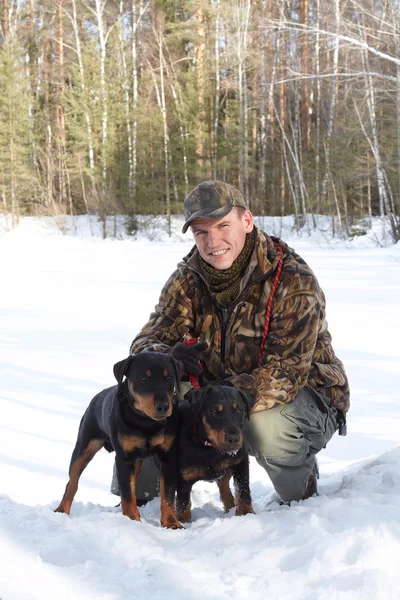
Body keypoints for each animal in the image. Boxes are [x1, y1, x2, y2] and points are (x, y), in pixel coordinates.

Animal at [54, 352, 184, 528]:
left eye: (169, 377)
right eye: (143, 378)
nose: (163, 406)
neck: (146, 422)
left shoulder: (168, 457)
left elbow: (168, 495)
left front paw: (171, 523)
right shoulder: (124, 458)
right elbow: (127, 494)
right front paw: (133, 520)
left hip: (136, 463)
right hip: (84, 445)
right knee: (72, 481)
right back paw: (61, 510)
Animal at [176, 384, 256, 520]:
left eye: (239, 410)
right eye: (214, 411)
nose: (233, 439)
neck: (210, 447)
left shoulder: (241, 462)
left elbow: (243, 490)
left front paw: (246, 514)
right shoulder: (183, 476)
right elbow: (183, 505)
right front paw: (182, 521)